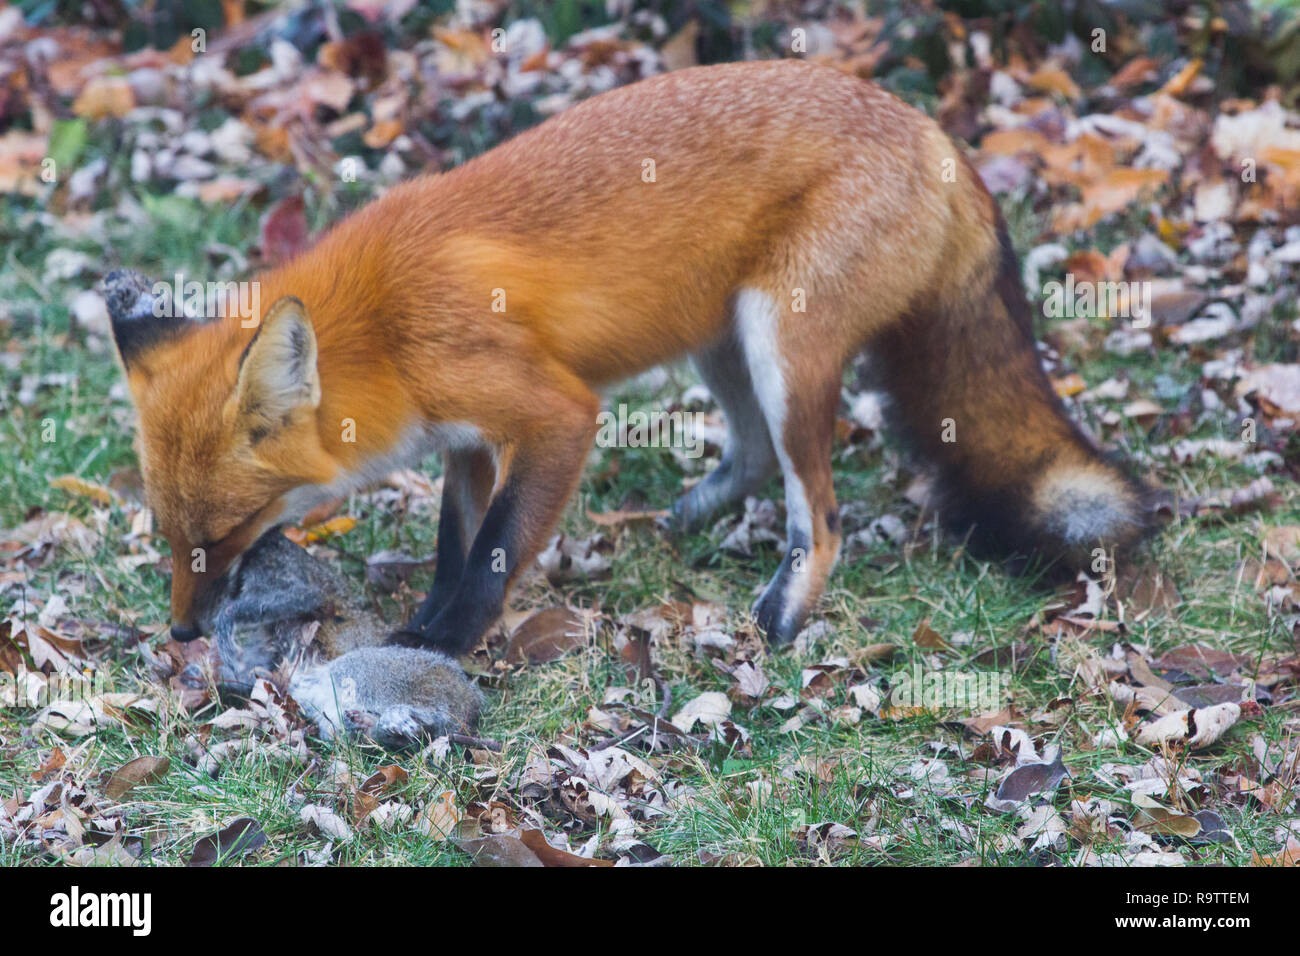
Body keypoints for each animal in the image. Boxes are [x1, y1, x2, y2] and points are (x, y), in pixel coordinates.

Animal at [105, 59, 1150, 654]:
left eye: (227, 534)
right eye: (168, 535)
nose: (183, 632)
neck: (386, 329)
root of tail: (933, 127)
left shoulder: (554, 413)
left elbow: (493, 552)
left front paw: (448, 645)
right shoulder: (469, 437)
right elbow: (456, 543)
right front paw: (430, 621)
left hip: (782, 346)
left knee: (823, 512)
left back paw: (785, 612)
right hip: (724, 345)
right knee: (755, 455)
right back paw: (686, 520)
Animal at [191, 528, 482, 747]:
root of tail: (467, 698)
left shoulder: (279, 564)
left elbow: (306, 594)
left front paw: (226, 621)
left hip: (396, 674)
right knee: (339, 730)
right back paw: (379, 729)